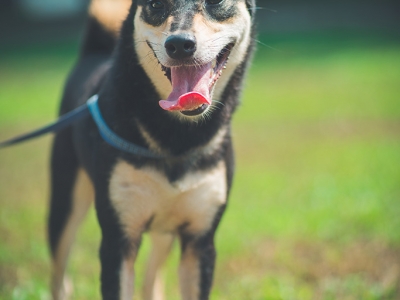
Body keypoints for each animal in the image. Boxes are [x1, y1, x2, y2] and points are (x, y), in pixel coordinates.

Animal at [49, 0, 256, 298]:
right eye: (156, 5)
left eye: (216, 3)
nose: (179, 44)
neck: (178, 138)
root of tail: (94, 55)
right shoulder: (117, 240)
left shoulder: (200, 242)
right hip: (65, 203)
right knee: (59, 276)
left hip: (165, 230)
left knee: (152, 277)